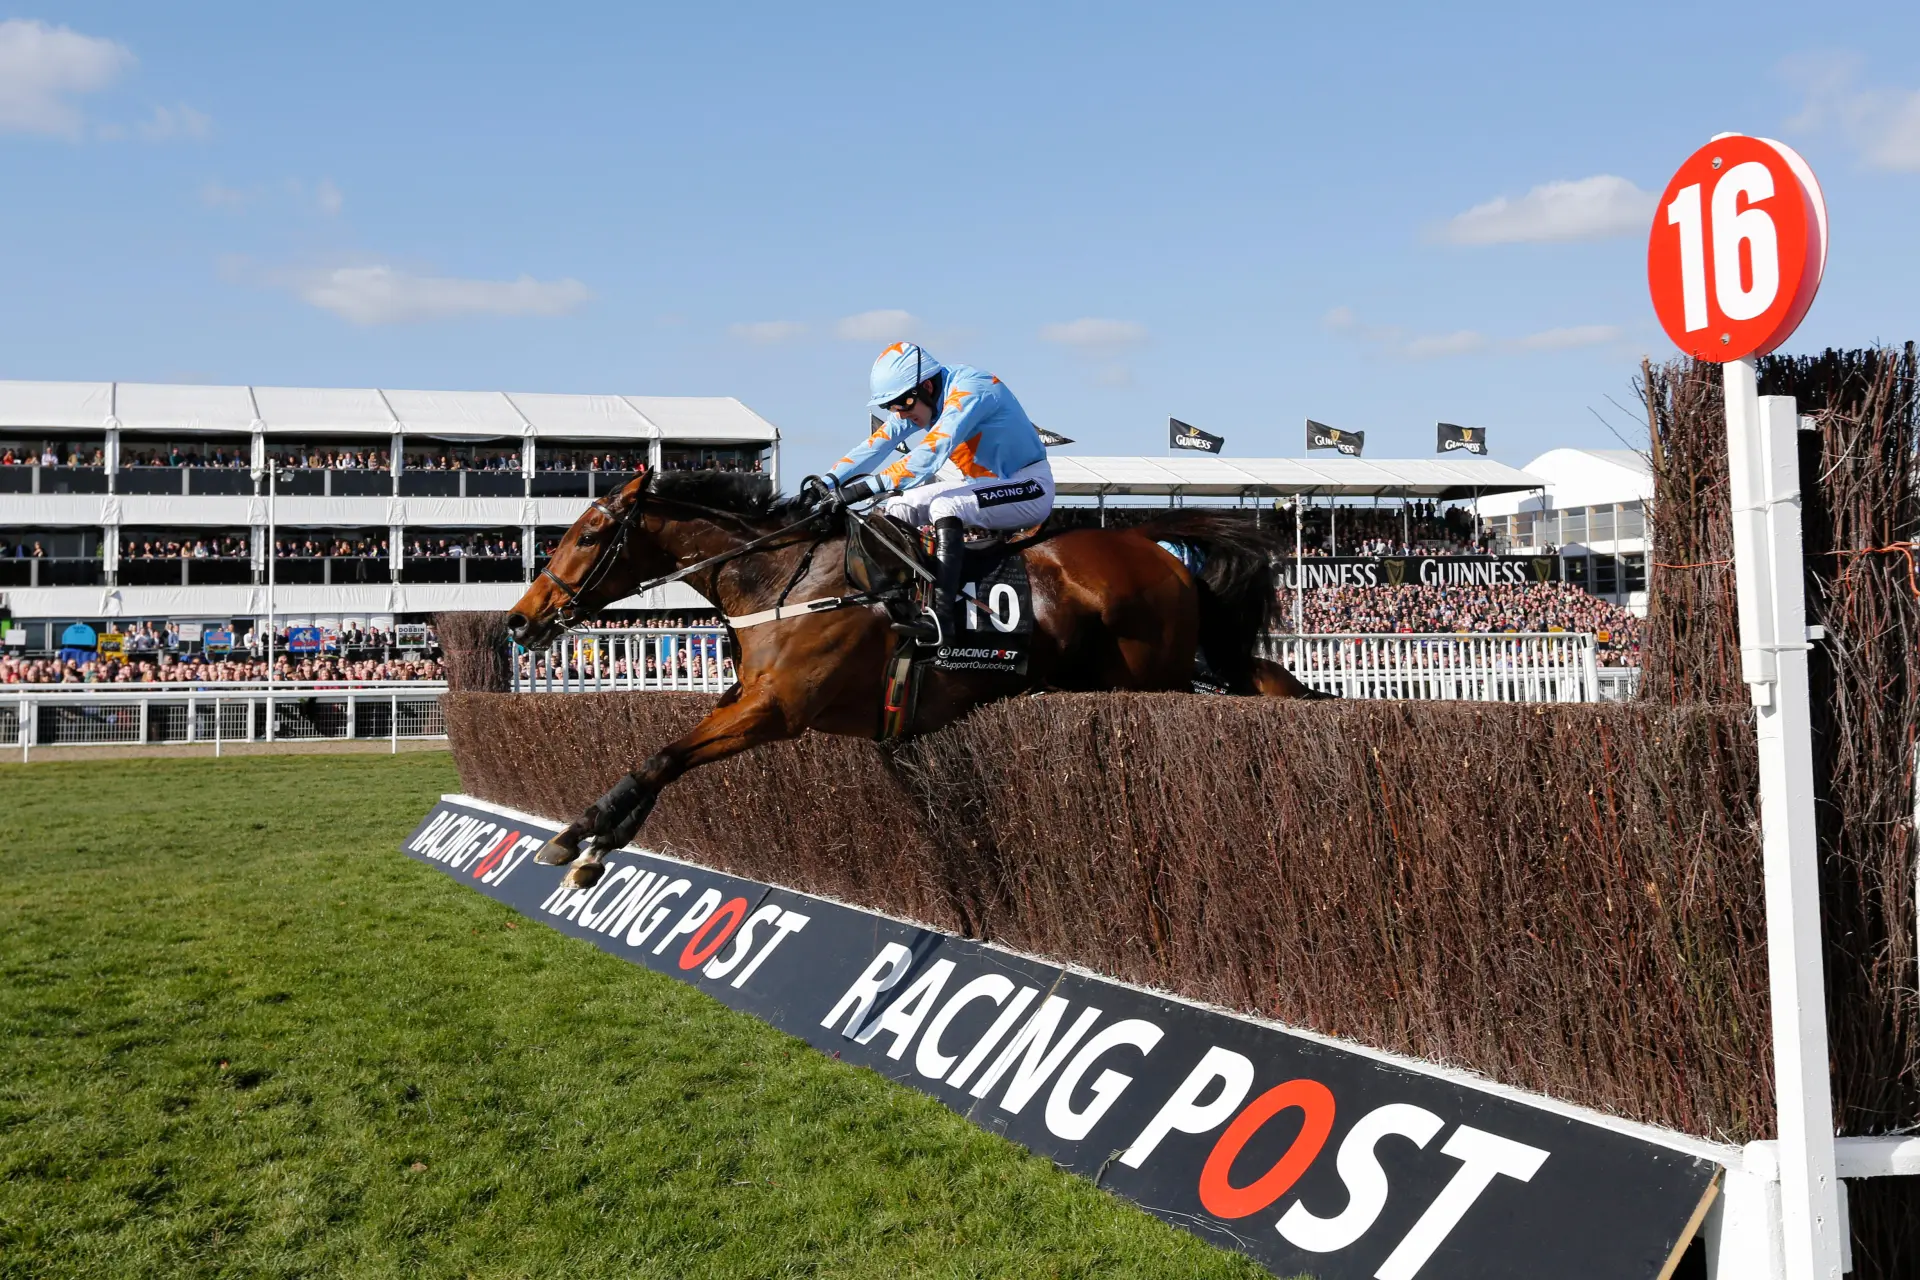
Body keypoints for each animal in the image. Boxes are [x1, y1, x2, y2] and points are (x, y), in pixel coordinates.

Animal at [506, 474, 1320, 890]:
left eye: (587, 534)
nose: (519, 620)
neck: (785, 579)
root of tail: (1154, 543)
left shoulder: (779, 710)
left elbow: (664, 756)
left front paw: (575, 839)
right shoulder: (745, 697)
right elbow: (663, 759)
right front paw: (597, 840)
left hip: (1155, 676)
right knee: (1261, 679)